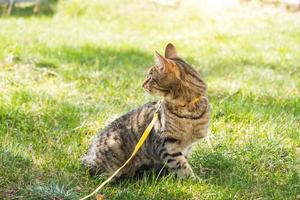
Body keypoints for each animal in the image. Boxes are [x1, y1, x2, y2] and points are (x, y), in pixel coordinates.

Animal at [81, 43, 209, 179]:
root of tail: (86, 158)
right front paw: (192, 180)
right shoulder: (166, 144)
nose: (142, 84)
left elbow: (182, 161)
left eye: (150, 77)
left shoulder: (184, 147)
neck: (189, 110)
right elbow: (181, 165)